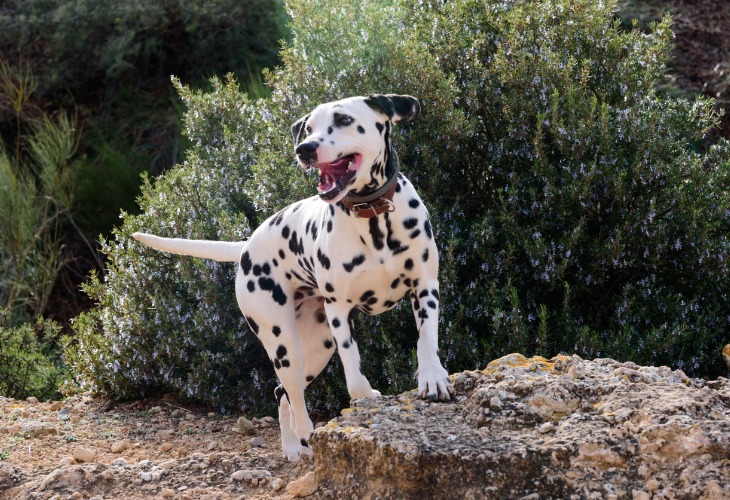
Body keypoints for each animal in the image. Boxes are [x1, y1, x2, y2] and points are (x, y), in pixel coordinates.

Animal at [131, 94, 450, 460]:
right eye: (309, 128)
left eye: (343, 120)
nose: (305, 149)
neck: (372, 219)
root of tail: (246, 246)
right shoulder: (339, 311)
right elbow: (354, 370)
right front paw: (364, 400)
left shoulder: (425, 288)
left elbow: (425, 339)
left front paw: (433, 378)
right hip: (285, 344)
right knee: (293, 397)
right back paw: (303, 440)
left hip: (317, 347)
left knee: (282, 392)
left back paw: (294, 446)